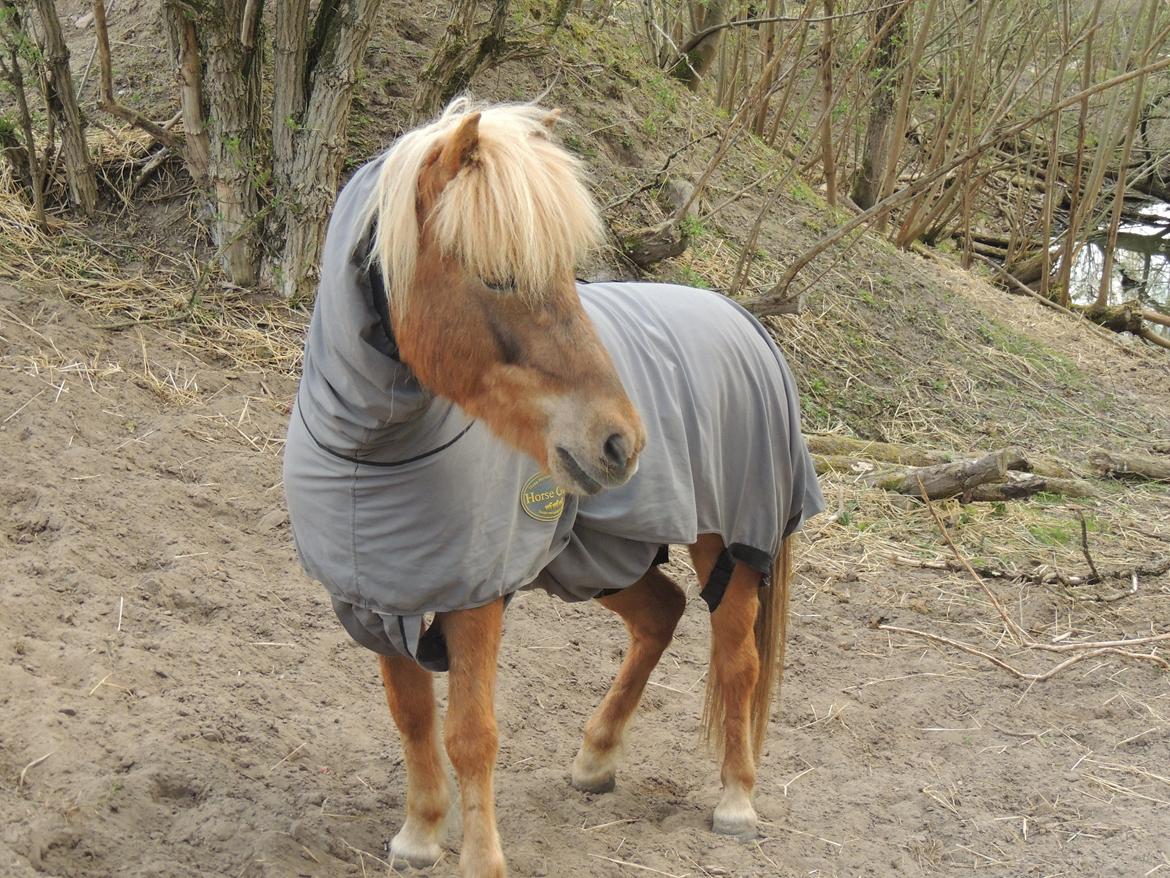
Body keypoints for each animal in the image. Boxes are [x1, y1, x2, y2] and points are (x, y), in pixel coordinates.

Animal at [285, 99, 823, 878]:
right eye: (500, 278)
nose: (620, 440)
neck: (374, 453)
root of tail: (745, 320)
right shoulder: (381, 593)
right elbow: (412, 716)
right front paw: (419, 833)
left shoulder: (474, 595)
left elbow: (471, 732)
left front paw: (480, 860)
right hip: (602, 553)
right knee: (660, 614)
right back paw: (596, 759)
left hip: (730, 539)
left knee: (738, 660)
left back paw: (735, 800)